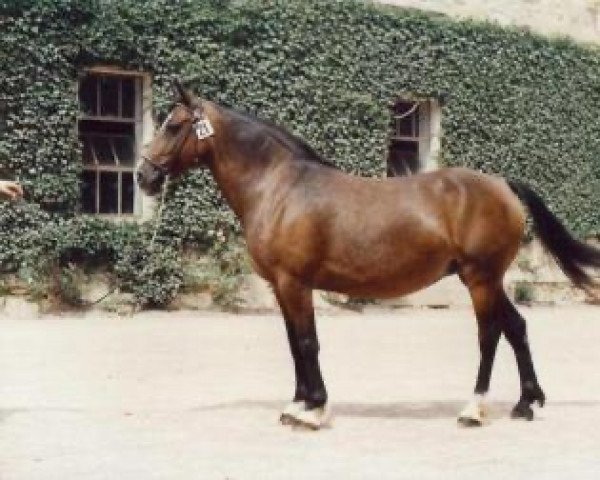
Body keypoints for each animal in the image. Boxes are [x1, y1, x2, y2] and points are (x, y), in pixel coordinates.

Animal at [137, 80, 600, 430]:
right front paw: (296, 405)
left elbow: (307, 342)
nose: (144, 175)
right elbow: (293, 343)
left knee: (489, 335)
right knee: (516, 327)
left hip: (480, 278)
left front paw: (314, 410)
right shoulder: (280, 287)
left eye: (174, 125)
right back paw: (525, 404)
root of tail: (501, 183)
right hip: (486, 278)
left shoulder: (295, 283)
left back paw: (473, 409)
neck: (279, 187)